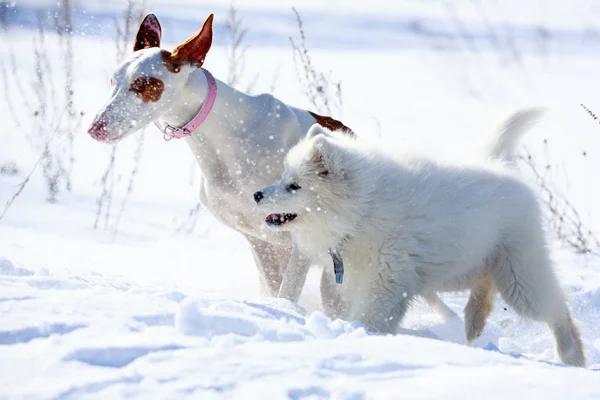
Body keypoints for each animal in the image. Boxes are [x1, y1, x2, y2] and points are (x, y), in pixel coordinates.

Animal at [89, 14, 452, 318]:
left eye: (144, 84)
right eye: (112, 82)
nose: (95, 128)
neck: (227, 135)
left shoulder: (298, 244)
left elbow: (287, 292)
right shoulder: (260, 242)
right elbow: (273, 290)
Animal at [254, 108, 584, 366]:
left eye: (294, 186)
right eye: (283, 176)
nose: (257, 195)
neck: (362, 209)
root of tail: (501, 164)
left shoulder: (385, 283)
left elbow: (371, 318)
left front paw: (361, 338)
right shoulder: (356, 281)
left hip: (518, 277)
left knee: (557, 309)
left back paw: (572, 357)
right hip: (466, 264)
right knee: (486, 286)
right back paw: (474, 323)